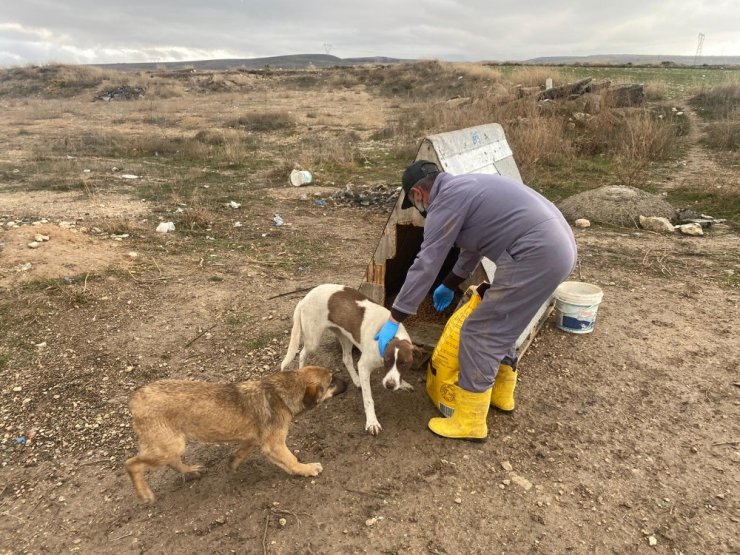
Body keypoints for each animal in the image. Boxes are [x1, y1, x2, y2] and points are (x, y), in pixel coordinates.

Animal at [278, 284, 414, 436]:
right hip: (313, 341)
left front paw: (403, 384)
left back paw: (356, 380)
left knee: (346, 358)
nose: (390, 386)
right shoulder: (364, 366)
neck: (391, 336)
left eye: (404, 364)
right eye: (387, 360)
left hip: (345, 336)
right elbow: (368, 399)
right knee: (302, 354)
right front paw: (372, 422)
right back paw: (303, 371)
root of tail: (304, 298)